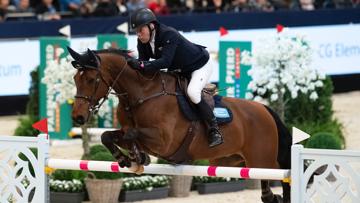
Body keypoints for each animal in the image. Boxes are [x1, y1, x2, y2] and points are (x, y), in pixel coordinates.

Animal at [67, 46, 292, 202]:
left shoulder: (164, 141)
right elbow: (108, 135)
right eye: (75, 79)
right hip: (233, 161)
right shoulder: (127, 131)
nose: (78, 117)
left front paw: (137, 157)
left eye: (91, 79)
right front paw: (128, 159)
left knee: (282, 177)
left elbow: (132, 134)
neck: (141, 94)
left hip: (262, 161)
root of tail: (264, 109)